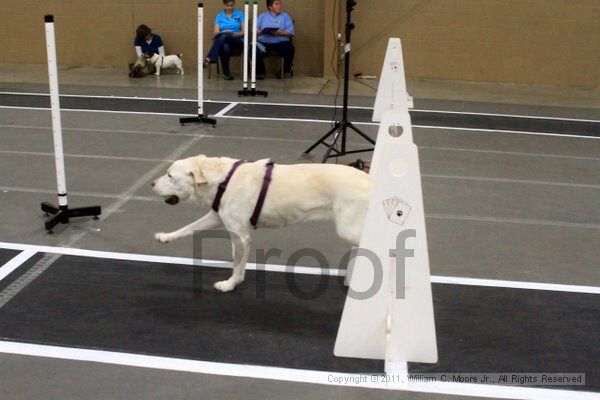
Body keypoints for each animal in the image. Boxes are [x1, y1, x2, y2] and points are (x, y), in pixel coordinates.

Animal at [151, 155, 370, 292]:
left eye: (170, 175)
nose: (151, 183)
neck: (222, 180)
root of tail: (372, 181)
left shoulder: (240, 235)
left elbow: (238, 263)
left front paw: (230, 284)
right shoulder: (217, 217)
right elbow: (187, 228)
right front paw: (165, 237)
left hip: (349, 229)